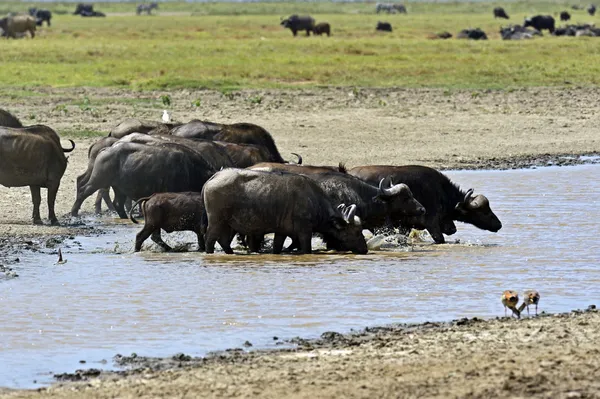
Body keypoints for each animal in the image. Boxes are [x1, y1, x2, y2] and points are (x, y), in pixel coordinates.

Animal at [204, 170, 368, 256]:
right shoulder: (305, 232)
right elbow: (306, 249)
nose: (365, 249)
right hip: (216, 221)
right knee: (210, 238)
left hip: (228, 224)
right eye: (356, 232)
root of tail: (215, 176)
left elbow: (277, 247)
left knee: (223, 240)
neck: (314, 200)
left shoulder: (281, 232)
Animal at [346, 165, 502, 244]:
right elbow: (440, 239)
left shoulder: (405, 226)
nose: (499, 224)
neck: (441, 192)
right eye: (484, 211)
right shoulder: (431, 223)